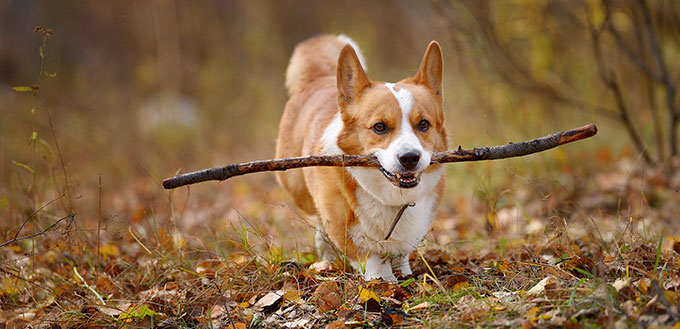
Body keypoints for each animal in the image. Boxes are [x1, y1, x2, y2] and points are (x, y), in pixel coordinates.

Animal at [274, 33, 448, 280]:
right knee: (319, 222)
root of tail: (319, 76)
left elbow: (401, 254)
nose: (410, 158)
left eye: (424, 124)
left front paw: (404, 272)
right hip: (300, 192)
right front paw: (386, 281)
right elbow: (373, 261)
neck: (390, 198)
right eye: (379, 127)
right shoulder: (346, 230)